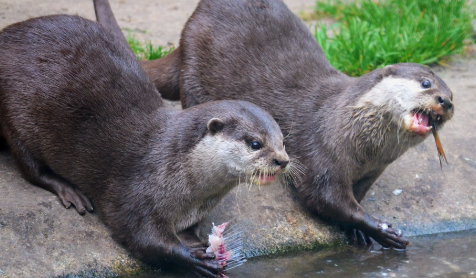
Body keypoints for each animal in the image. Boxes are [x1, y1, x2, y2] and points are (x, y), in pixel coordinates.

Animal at [0, 15, 290, 278]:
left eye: (283, 141)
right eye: (255, 143)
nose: (283, 160)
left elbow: (188, 232)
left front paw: (203, 245)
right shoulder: (137, 190)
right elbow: (140, 235)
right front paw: (194, 260)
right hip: (14, 115)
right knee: (30, 168)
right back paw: (69, 191)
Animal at [94, 0, 454, 249]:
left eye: (451, 94)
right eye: (425, 83)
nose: (446, 103)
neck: (350, 131)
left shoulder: (370, 172)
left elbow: (355, 198)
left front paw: (360, 230)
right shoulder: (321, 152)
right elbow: (327, 199)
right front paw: (379, 229)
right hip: (195, 72)